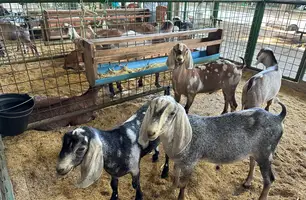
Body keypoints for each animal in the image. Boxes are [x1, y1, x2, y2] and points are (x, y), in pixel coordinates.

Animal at [139, 95, 286, 200]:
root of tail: (278, 118)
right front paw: (171, 189)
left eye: (172, 113)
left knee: (269, 179)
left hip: (266, 152)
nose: (151, 132)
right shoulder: (179, 161)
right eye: (151, 109)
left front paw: (180, 196)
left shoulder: (190, 162)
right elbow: (175, 177)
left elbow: (184, 184)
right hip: (256, 151)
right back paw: (247, 182)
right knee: (252, 163)